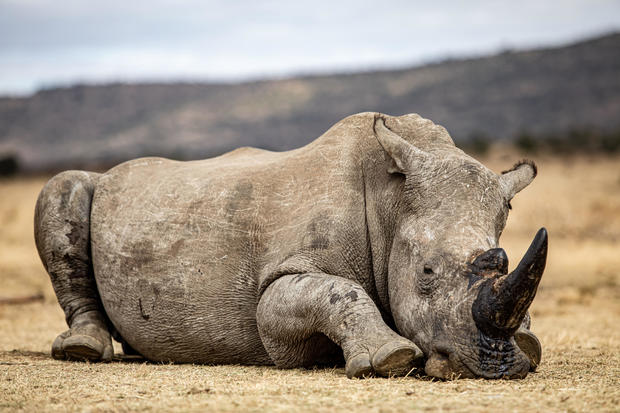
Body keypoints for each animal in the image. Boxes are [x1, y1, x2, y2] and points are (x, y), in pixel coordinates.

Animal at [36, 111, 544, 378]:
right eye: (427, 274)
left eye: (505, 264)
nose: (500, 366)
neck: (390, 200)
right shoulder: (278, 290)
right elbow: (337, 292)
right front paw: (390, 359)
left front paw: (529, 342)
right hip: (93, 187)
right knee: (63, 189)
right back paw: (82, 349)